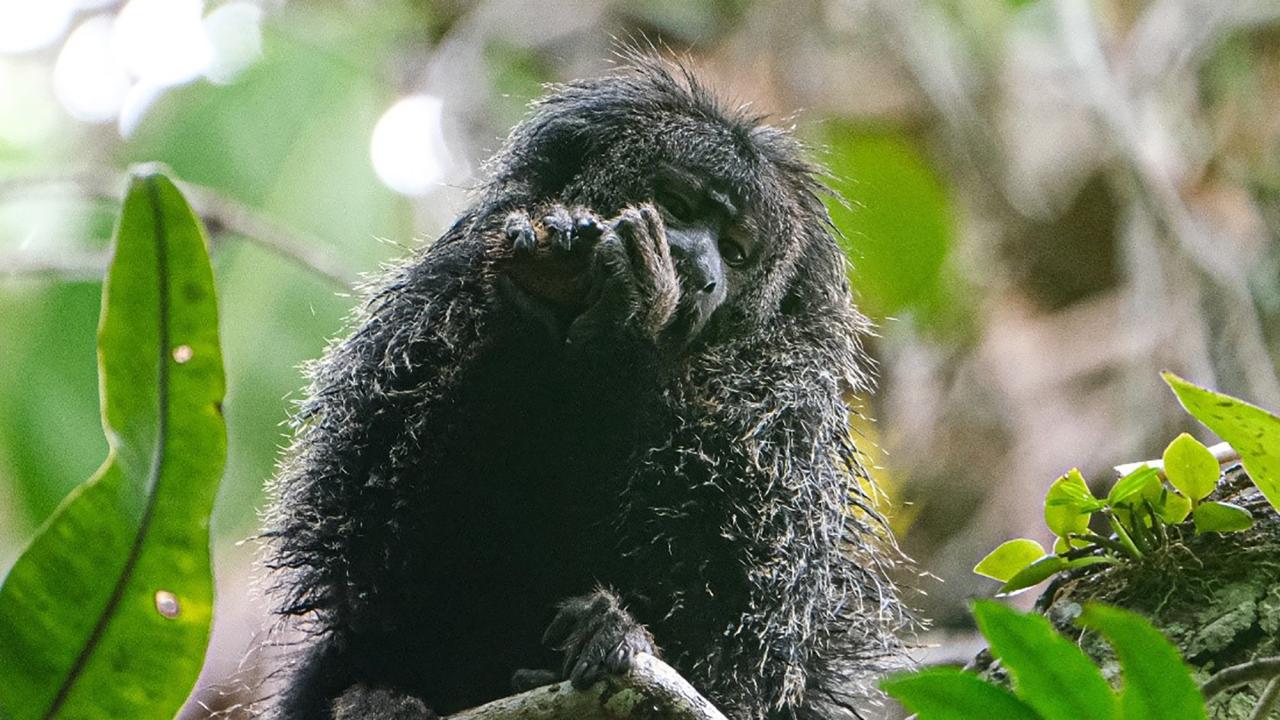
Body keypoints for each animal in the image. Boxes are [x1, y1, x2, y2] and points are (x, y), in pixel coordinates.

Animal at [262, 55, 907, 720]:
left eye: (734, 252)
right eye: (677, 205)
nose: (700, 267)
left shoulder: (784, 407)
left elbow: (744, 598)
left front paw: (629, 328)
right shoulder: (437, 300)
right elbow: (376, 538)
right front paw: (536, 315)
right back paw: (380, 700)